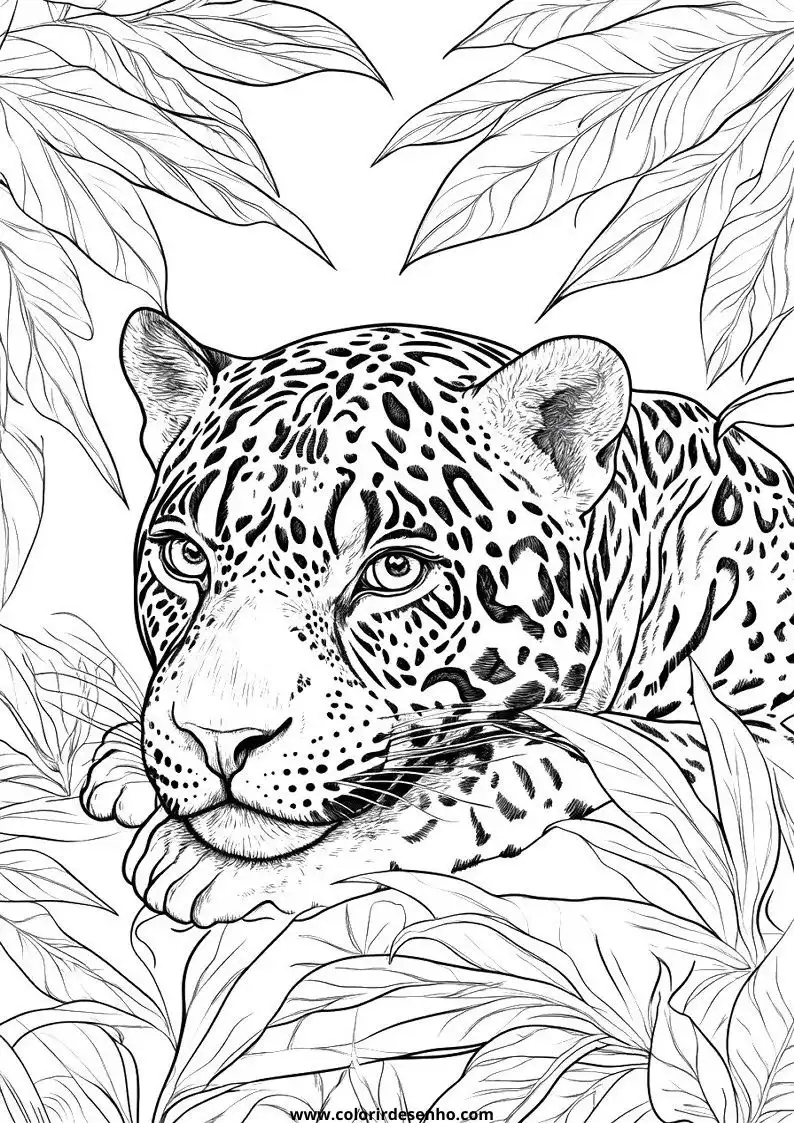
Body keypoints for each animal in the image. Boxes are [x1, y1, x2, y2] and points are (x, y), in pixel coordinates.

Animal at [82, 308, 794, 925]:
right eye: (184, 556)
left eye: (395, 571)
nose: (217, 739)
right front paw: (126, 759)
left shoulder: (755, 744)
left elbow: (501, 767)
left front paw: (208, 861)